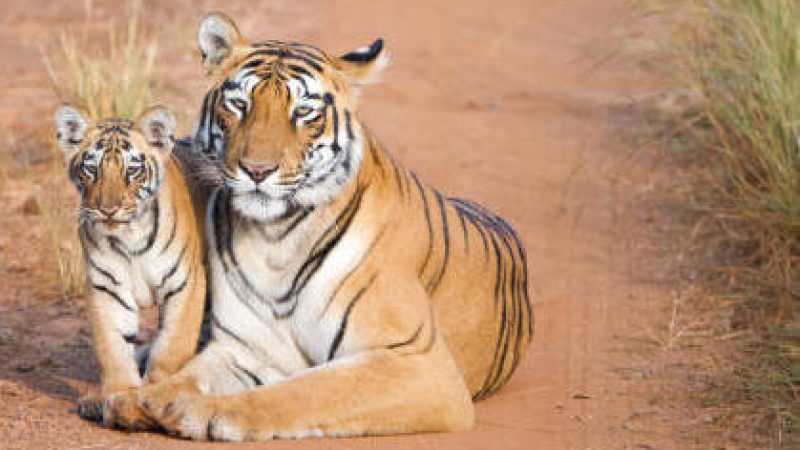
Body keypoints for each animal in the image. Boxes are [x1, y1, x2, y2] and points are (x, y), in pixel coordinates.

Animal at [54, 105, 207, 423]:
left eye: (132, 170)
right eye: (91, 168)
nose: (108, 209)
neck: (130, 238)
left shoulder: (186, 283)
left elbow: (172, 346)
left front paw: (154, 395)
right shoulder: (107, 287)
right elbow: (112, 348)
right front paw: (119, 395)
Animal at [103, 12, 532, 441]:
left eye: (304, 113)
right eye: (239, 104)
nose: (256, 170)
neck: (275, 239)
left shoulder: (417, 362)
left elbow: (307, 390)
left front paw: (201, 410)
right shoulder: (246, 350)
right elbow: (190, 374)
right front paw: (137, 399)